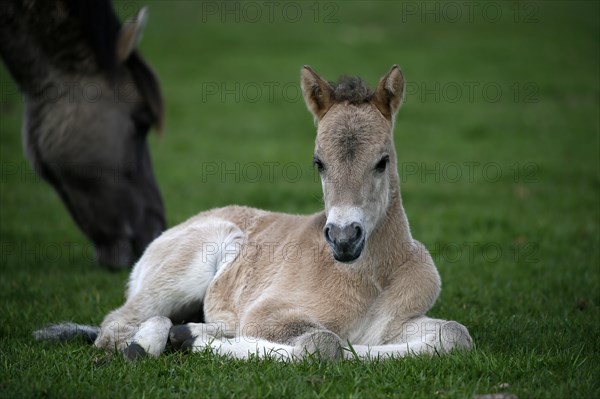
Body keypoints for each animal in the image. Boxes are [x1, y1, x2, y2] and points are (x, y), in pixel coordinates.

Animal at [35, 65, 474, 360]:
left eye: (383, 161)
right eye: (318, 163)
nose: (344, 238)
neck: (369, 281)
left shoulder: (398, 323)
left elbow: (455, 336)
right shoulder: (267, 315)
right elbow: (325, 343)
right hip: (191, 264)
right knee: (115, 326)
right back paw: (150, 343)